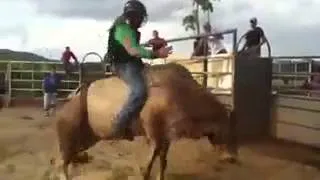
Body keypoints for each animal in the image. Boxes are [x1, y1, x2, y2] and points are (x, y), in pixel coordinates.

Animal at [50, 63, 238, 180]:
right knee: (61, 162)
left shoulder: (166, 136)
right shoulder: (153, 132)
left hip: (86, 138)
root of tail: (72, 97)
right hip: (70, 135)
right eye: (229, 128)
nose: (232, 158)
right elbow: (149, 163)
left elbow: (163, 162)